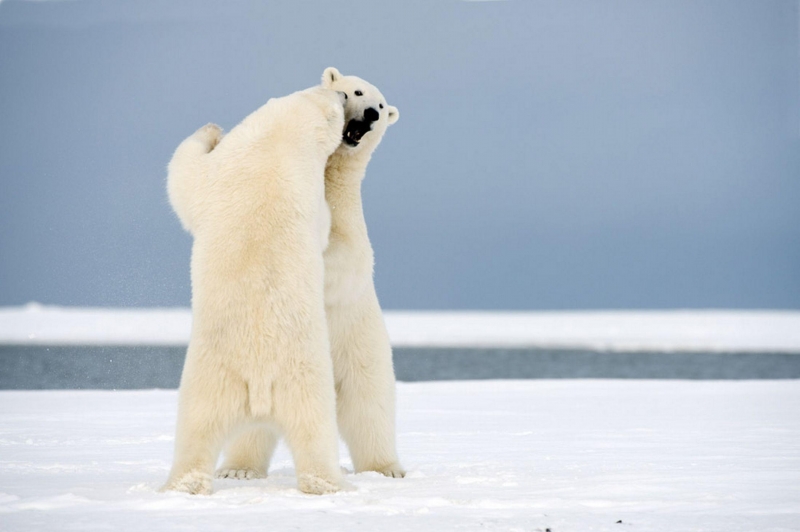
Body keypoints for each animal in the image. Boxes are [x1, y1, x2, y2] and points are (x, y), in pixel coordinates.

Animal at [162, 85, 346, 496]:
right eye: (339, 96)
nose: (345, 93)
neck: (279, 139)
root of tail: (259, 383)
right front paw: (213, 128)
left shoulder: (228, 166)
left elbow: (183, 175)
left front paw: (211, 129)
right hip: (232, 381)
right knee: (200, 431)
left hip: (279, 378)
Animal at [217, 66, 406, 478]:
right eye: (357, 92)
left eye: (382, 104)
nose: (371, 114)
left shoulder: (352, 233)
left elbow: (344, 261)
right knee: (254, 425)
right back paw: (238, 469)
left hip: (361, 351)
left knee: (370, 410)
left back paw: (385, 467)